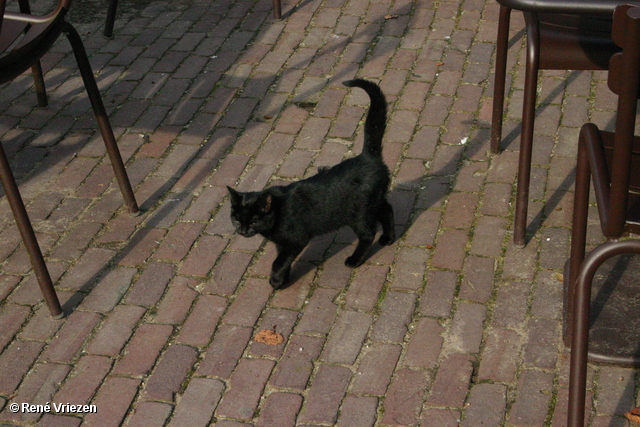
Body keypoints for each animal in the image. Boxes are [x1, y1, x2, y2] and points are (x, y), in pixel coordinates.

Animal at [225, 78, 396, 290]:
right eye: (236, 220)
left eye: (254, 221)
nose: (242, 231)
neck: (277, 215)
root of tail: (367, 156)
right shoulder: (282, 244)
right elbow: (283, 260)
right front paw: (284, 278)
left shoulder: (295, 239)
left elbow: (278, 262)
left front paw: (276, 281)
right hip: (374, 201)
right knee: (387, 209)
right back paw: (389, 238)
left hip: (360, 213)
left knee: (368, 233)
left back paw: (355, 259)